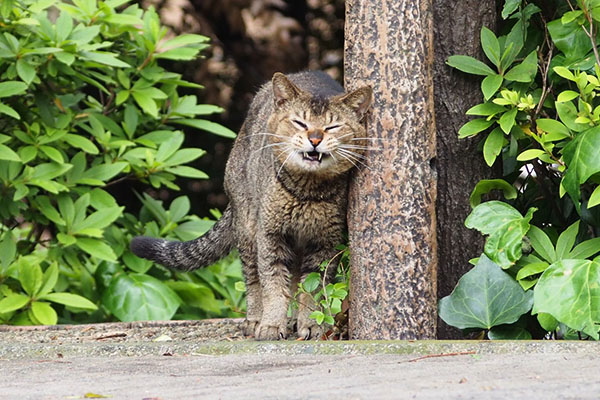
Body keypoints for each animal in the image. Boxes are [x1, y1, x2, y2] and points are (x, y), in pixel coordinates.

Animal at [131, 70, 370, 340]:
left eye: (332, 127)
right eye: (300, 123)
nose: (315, 139)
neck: (307, 193)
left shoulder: (325, 242)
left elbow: (313, 288)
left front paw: (311, 324)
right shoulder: (270, 236)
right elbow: (273, 285)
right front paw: (271, 325)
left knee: (294, 279)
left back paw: (293, 321)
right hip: (247, 228)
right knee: (253, 279)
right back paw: (255, 320)